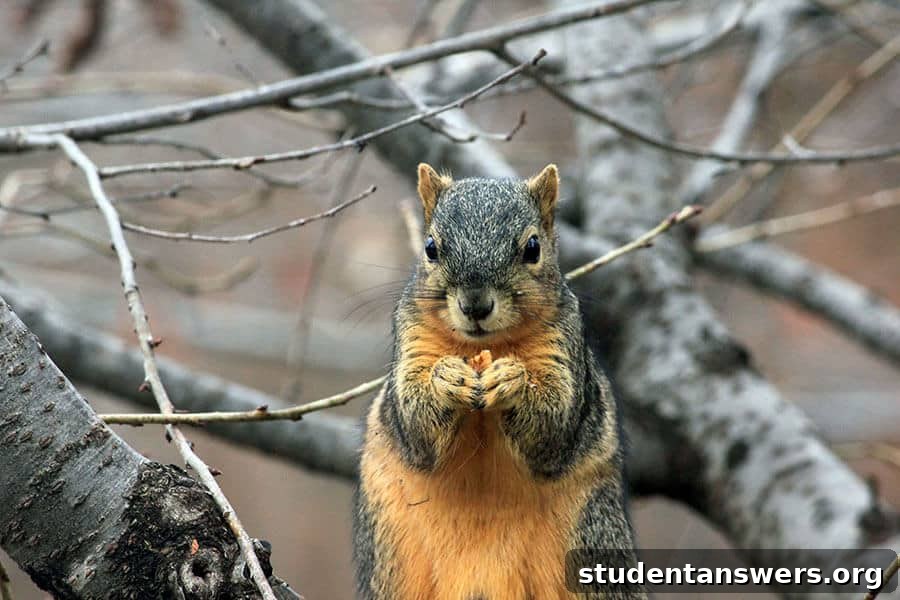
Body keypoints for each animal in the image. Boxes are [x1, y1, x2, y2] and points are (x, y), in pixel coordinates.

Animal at [353, 163, 644, 600]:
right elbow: (415, 426)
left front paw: (513, 381)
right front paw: (447, 379)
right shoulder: (411, 341)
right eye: (430, 247)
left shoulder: (563, 349)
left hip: (593, 539)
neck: (483, 347)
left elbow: (553, 427)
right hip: (389, 560)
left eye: (533, 248)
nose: (475, 305)